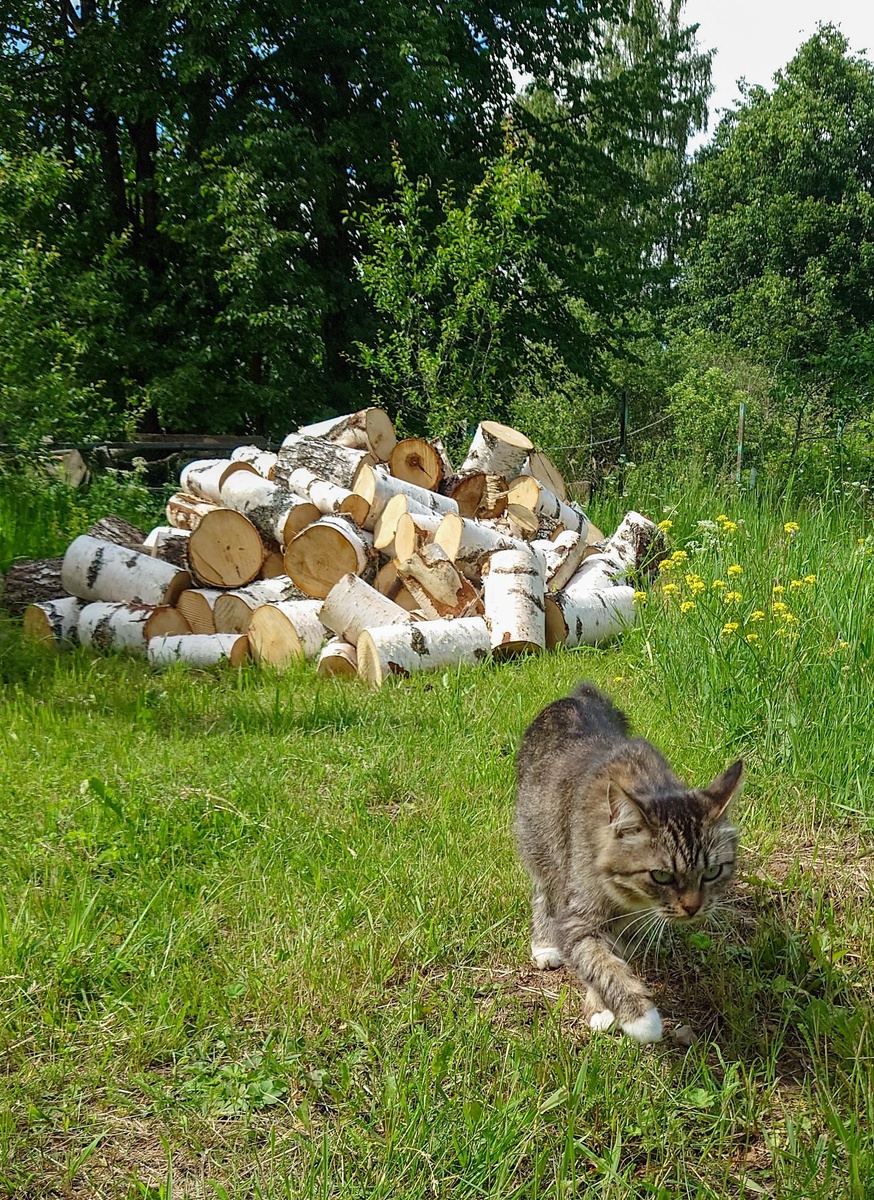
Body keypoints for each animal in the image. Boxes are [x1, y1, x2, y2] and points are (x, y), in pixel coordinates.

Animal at [516, 686, 739, 1041]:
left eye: (712, 872)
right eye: (661, 876)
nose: (693, 908)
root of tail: (579, 695)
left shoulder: (632, 927)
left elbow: (612, 958)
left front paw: (602, 1005)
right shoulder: (578, 919)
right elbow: (600, 963)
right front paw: (640, 1017)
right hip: (539, 841)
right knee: (543, 890)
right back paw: (544, 943)